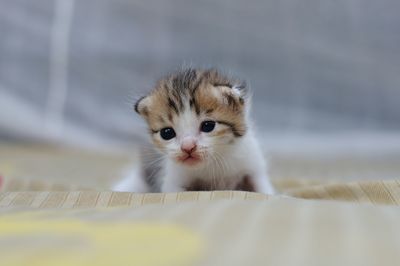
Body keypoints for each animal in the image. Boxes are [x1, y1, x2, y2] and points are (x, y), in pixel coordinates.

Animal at [112, 68, 276, 193]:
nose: (187, 147)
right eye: (167, 133)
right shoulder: (172, 178)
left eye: (208, 126)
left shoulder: (252, 164)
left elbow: (264, 189)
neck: (212, 165)